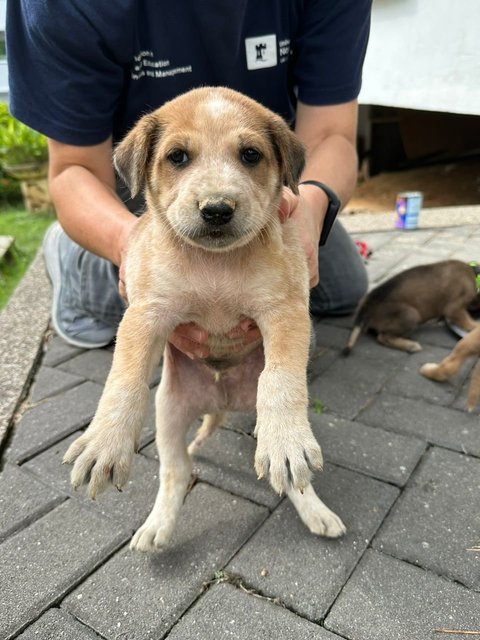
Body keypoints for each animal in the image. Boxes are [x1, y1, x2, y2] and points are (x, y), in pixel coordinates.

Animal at [62, 87, 344, 552]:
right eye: (177, 156)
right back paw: (157, 526)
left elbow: (281, 379)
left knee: (292, 479)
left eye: (251, 155)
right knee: (175, 472)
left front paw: (285, 440)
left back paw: (314, 507)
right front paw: (105, 443)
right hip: (170, 413)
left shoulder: (285, 308)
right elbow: (124, 378)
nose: (216, 209)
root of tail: (221, 401)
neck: (215, 266)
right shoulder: (145, 313)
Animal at [344, 260, 478, 356]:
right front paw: (475, 326)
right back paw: (410, 345)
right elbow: (467, 321)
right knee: (383, 337)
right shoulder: (454, 308)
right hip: (410, 315)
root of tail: (366, 306)